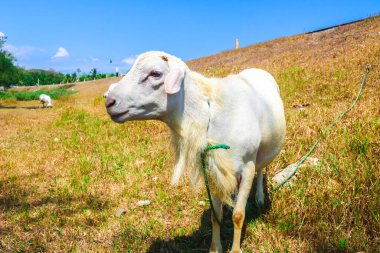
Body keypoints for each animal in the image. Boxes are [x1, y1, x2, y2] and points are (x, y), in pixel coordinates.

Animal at [104, 51, 284, 253]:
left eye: (155, 73)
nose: (109, 102)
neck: (210, 114)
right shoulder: (213, 167)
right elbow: (216, 214)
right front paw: (215, 248)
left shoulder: (247, 167)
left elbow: (238, 215)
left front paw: (235, 249)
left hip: (262, 152)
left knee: (261, 170)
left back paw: (259, 198)